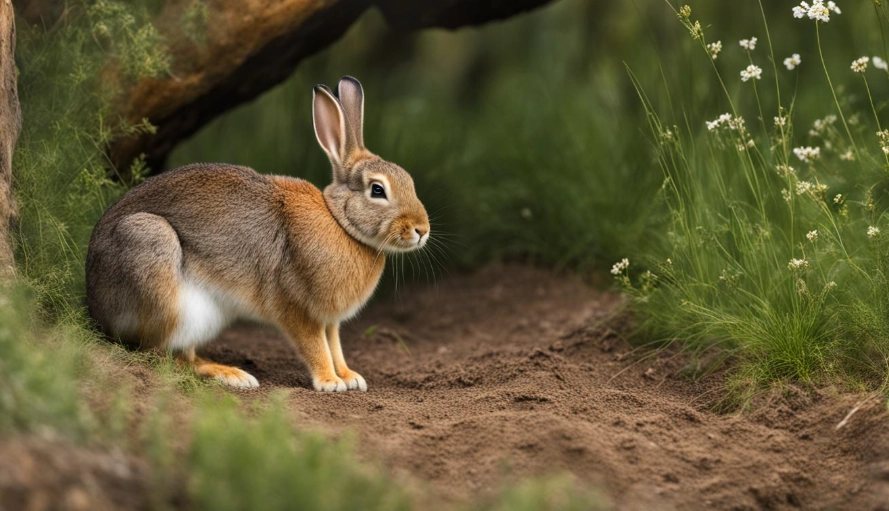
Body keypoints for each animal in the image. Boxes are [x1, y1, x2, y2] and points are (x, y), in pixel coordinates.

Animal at [85, 76, 430, 392]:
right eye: (377, 190)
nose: (422, 230)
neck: (340, 222)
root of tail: (95, 306)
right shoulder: (295, 307)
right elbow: (315, 346)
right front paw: (330, 382)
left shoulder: (330, 319)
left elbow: (335, 345)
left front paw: (349, 377)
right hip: (155, 260)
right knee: (161, 356)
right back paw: (232, 375)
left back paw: (232, 373)